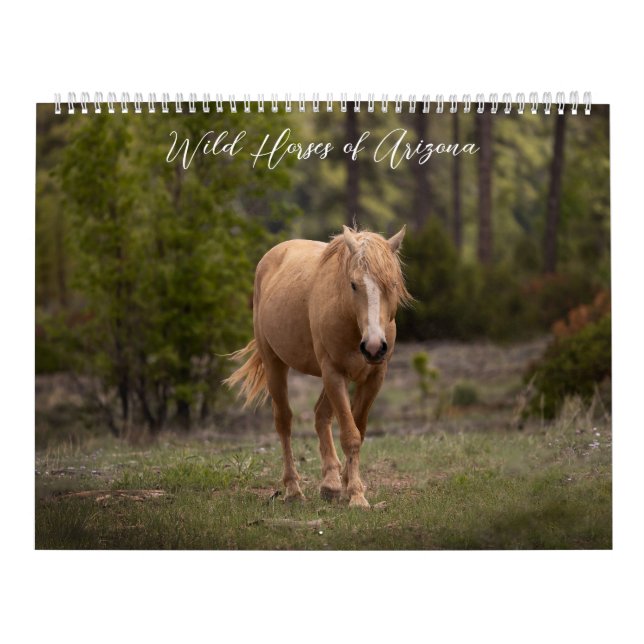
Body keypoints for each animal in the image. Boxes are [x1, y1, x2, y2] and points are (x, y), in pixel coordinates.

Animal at [224, 225, 411, 507]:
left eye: (392, 284)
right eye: (353, 284)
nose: (374, 346)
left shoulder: (374, 376)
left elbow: (358, 430)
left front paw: (347, 484)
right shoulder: (333, 373)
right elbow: (350, 435)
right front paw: (356, 496)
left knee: (320, 415)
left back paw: (330, 484)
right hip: (275, 363)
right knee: (284, 421)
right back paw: (293, 489)